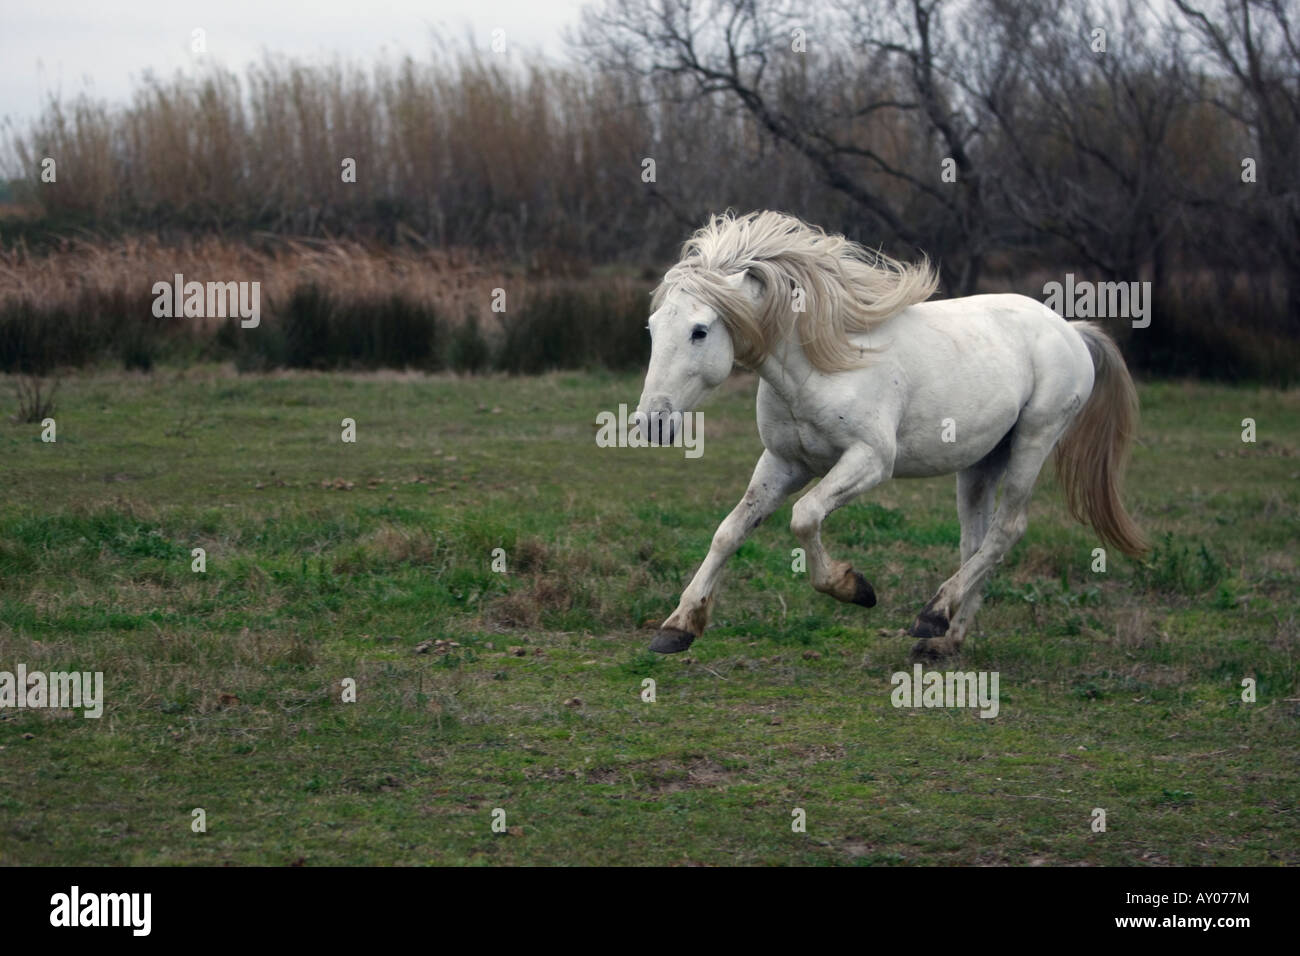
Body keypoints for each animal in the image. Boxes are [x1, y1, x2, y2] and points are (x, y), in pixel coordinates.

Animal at [634, 210, 1148, 660]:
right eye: (653, 328)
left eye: (700, 331)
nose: (651, 423)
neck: (824, 361)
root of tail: (1071, 330)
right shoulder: (783, 463)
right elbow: (730, 531)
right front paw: (678, 626)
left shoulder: (870, 460)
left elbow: (804, 517)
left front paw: (853, 588)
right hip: (982, 463)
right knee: (977, 540)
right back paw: (945, 639)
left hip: (1034, 442)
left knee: (1007, 530)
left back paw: (931, 614)